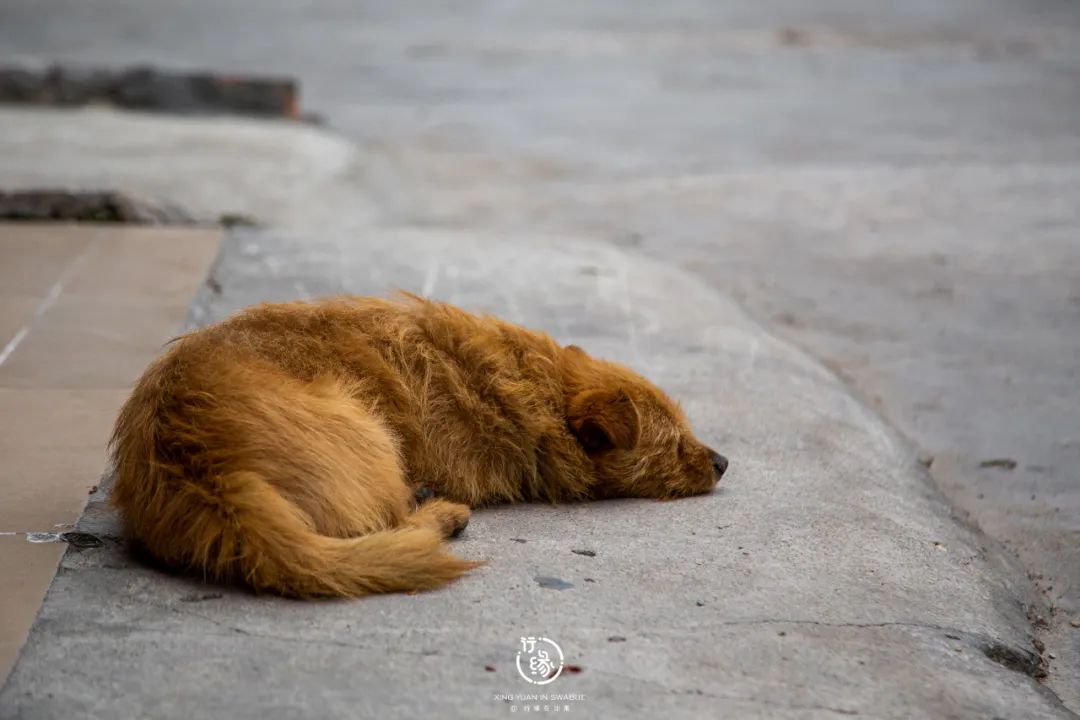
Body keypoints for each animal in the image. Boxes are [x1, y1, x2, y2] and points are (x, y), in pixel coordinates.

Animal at [109, 295, 725, 600]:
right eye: (675, 445)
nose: (722, 462)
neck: (533, 389)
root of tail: (209, 472)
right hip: (365, 428)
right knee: (387, 524)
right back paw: (439, 513)